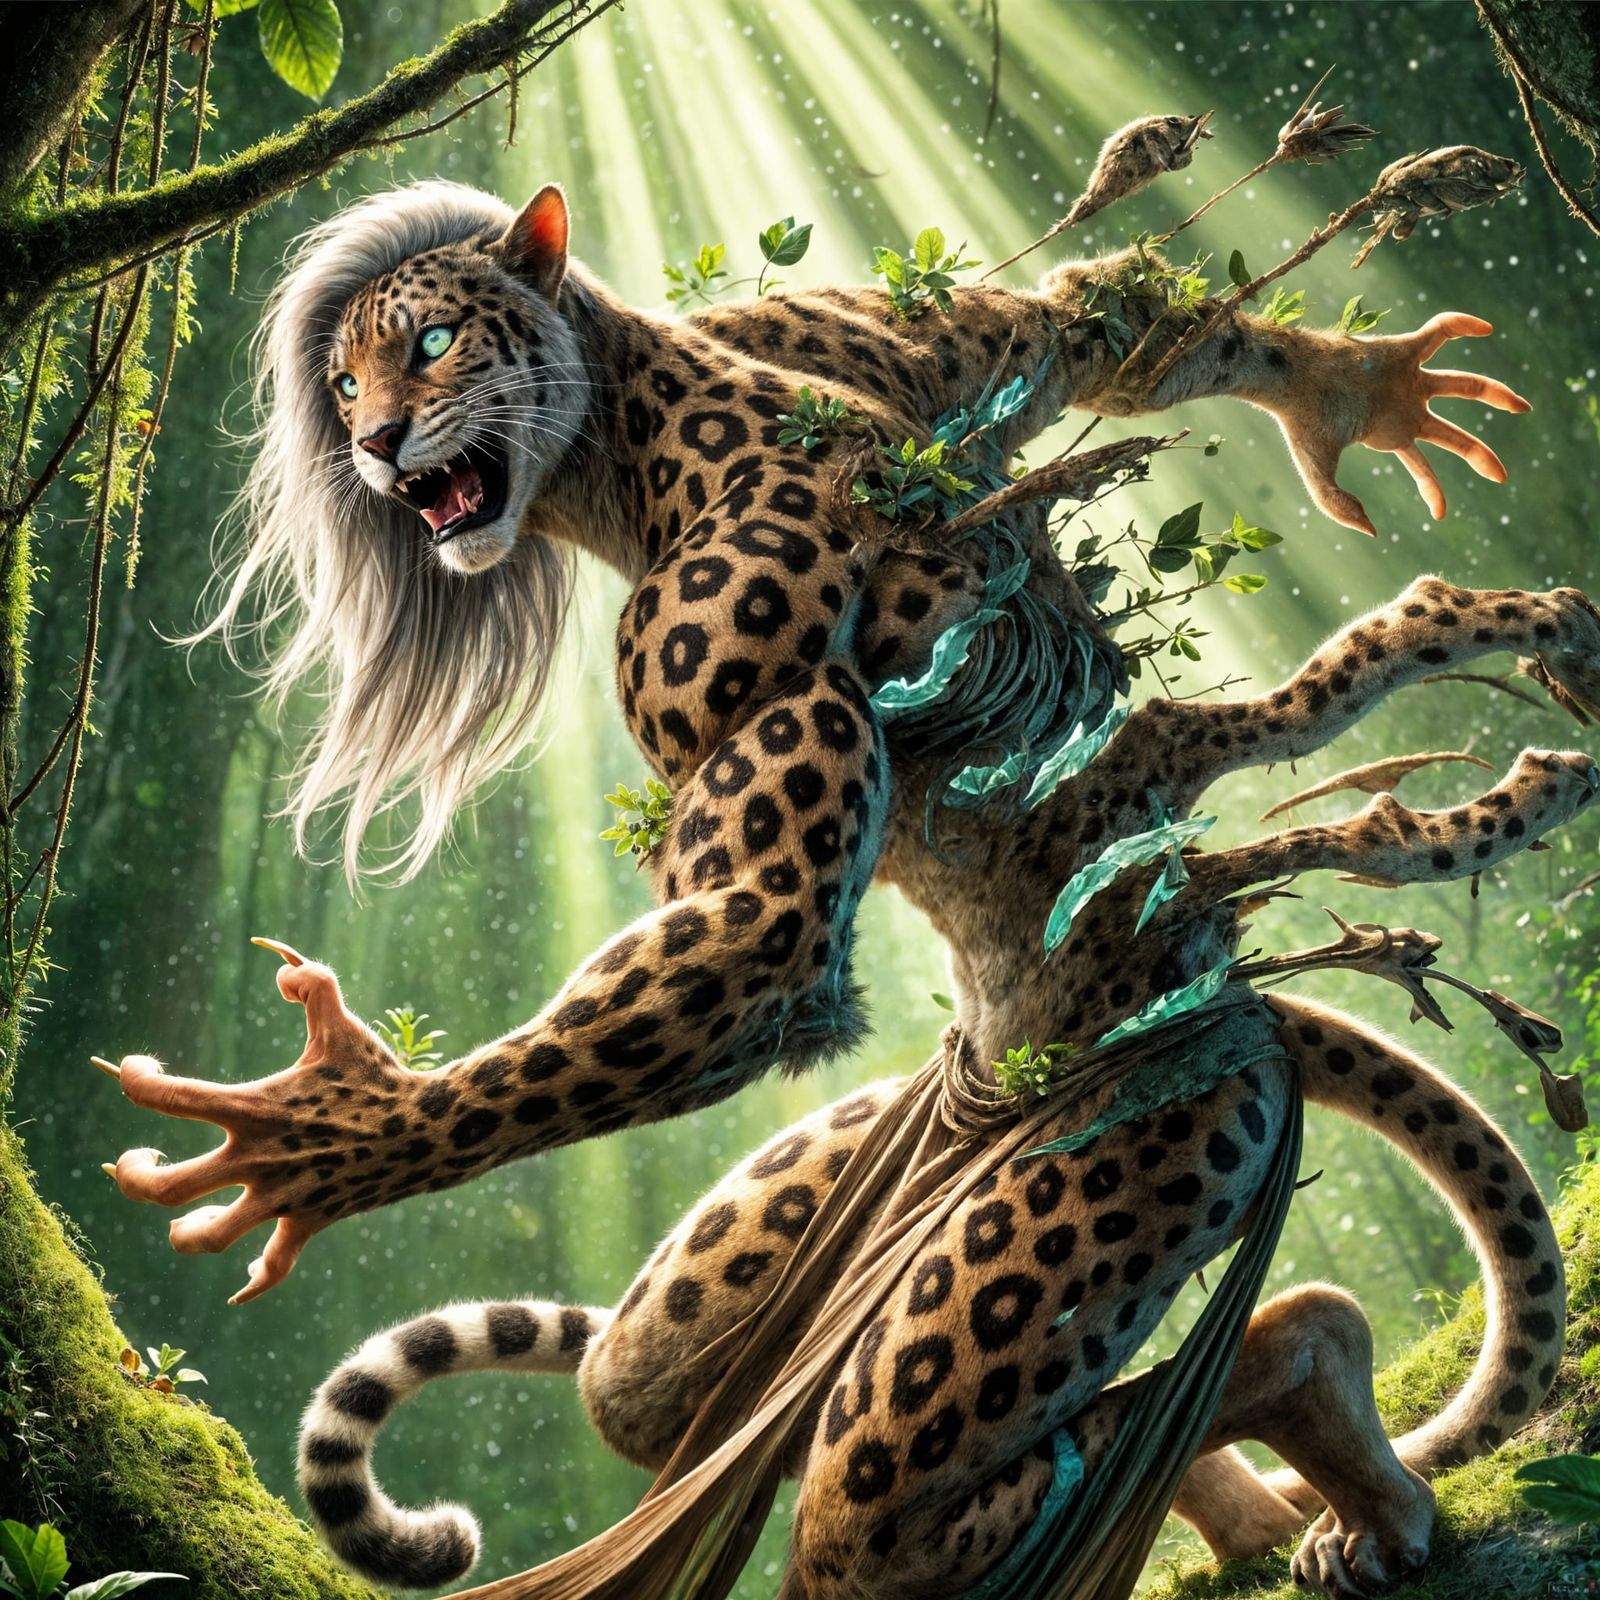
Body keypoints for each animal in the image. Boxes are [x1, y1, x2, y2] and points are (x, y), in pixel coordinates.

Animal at [94, 169, 1600, 1600]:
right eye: (344, 381)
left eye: (432, 340)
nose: (368, 444)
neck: (629, 455)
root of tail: (1241, 1005)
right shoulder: (879, 340)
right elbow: (1083, 320)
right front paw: (1363, 395)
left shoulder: (743, 656)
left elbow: (757, 927)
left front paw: (334, 1138)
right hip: (738, 1273)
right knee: (641, 1387)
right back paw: (1266, 1513)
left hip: (1109, 1189)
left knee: (903, 1500)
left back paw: (1339, 1434)